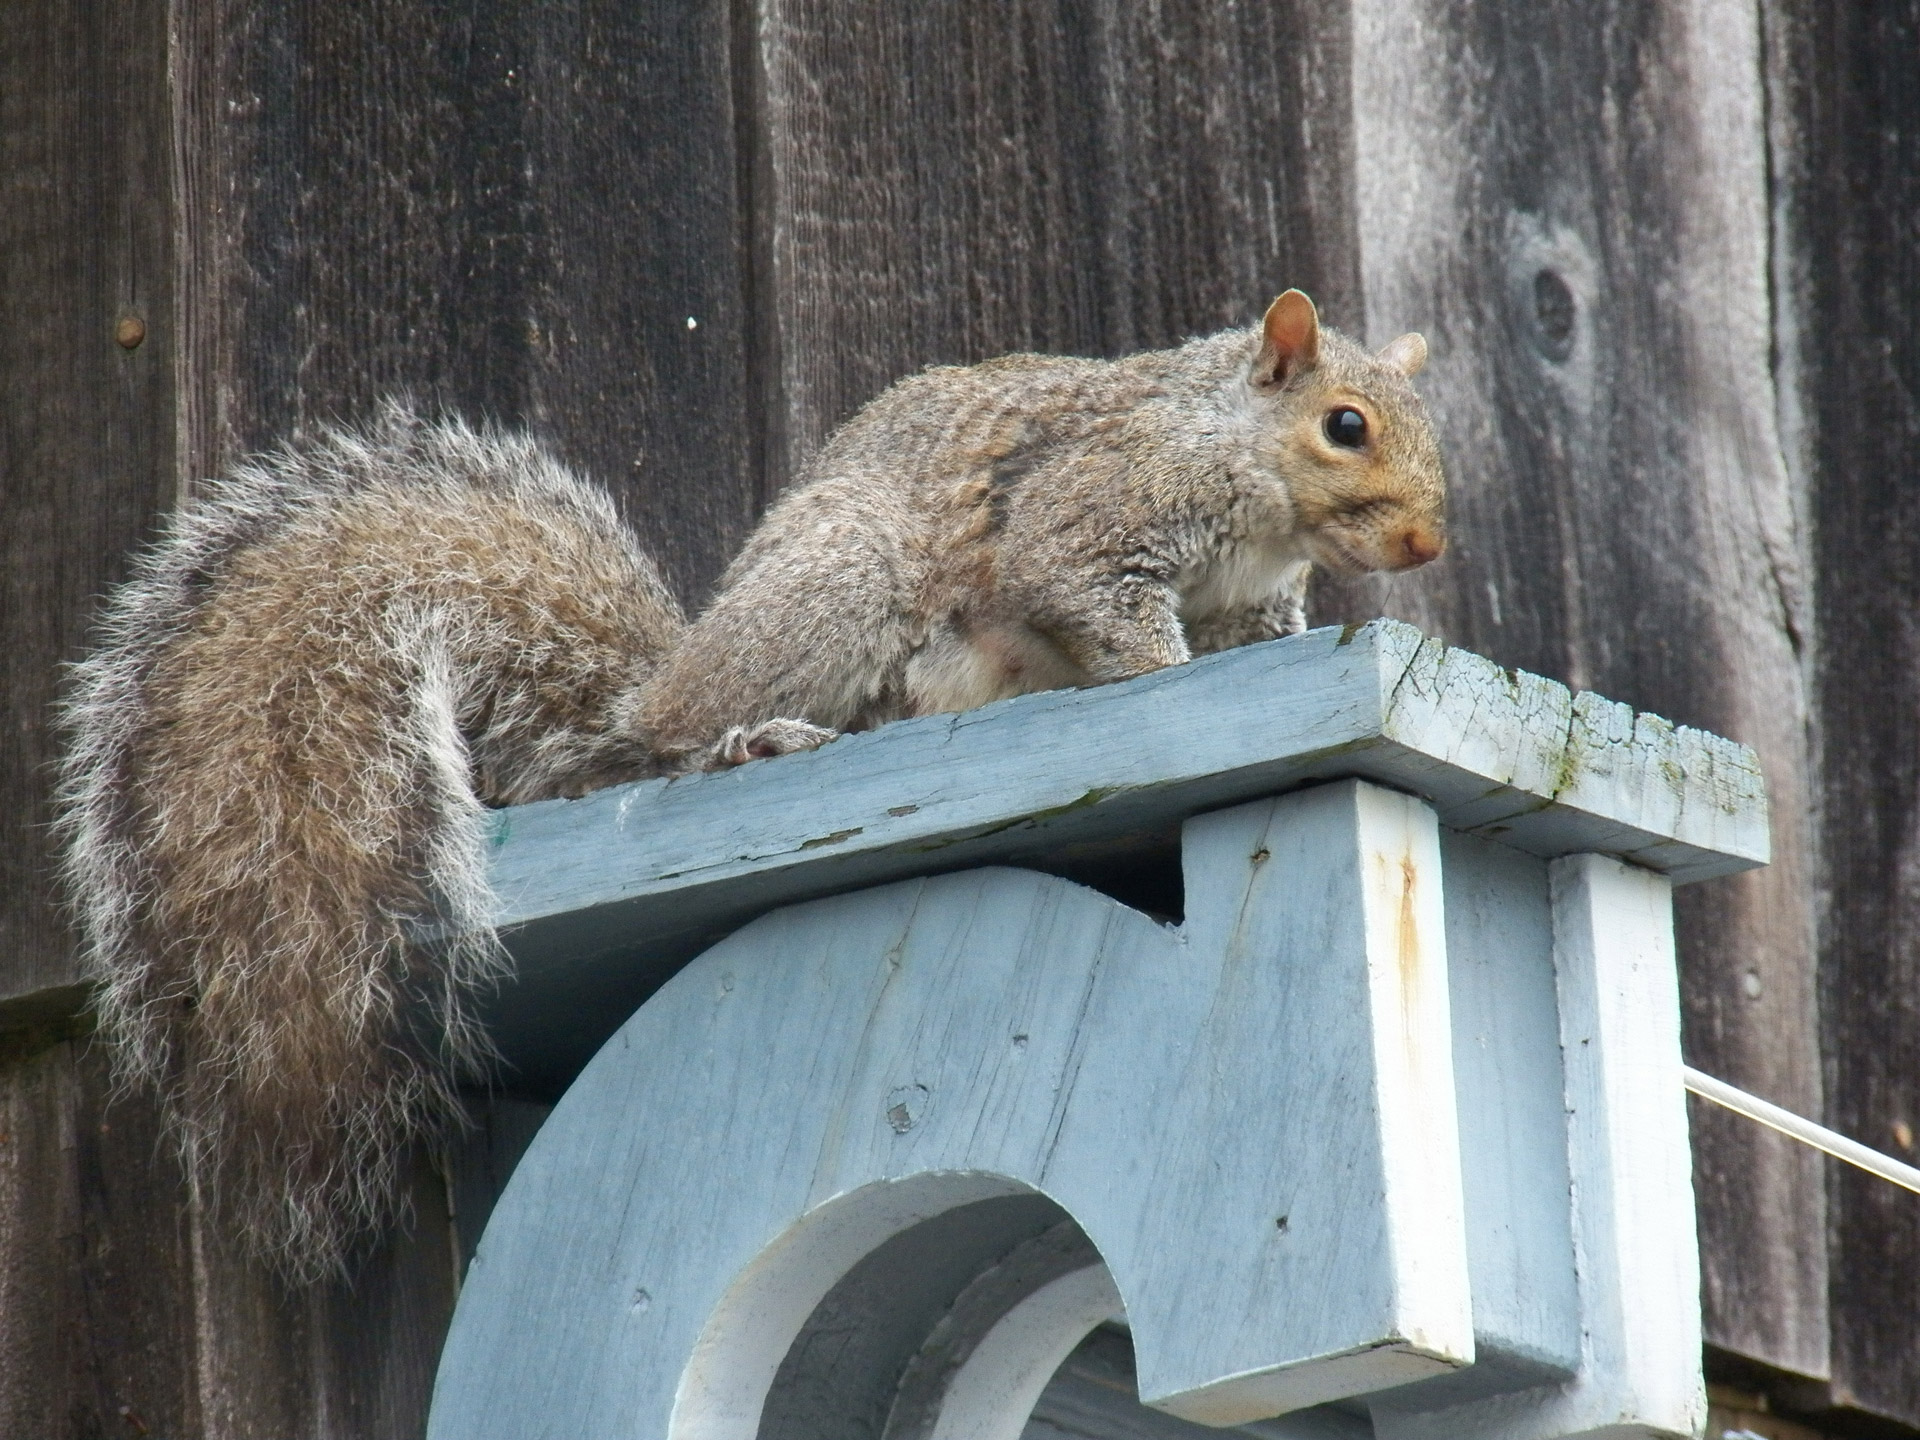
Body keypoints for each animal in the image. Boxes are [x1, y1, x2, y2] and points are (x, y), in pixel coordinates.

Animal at [56, 288, 1443, 1282]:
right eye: (1347, 425)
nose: (1428, 542)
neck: (1248, 480)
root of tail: (645, 705)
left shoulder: (1256, 596)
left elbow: (1254, 637)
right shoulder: (1092, 518)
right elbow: (1102, 611)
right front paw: (1157, 679)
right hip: (842, 588)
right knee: (682, 752)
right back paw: (751, 742)